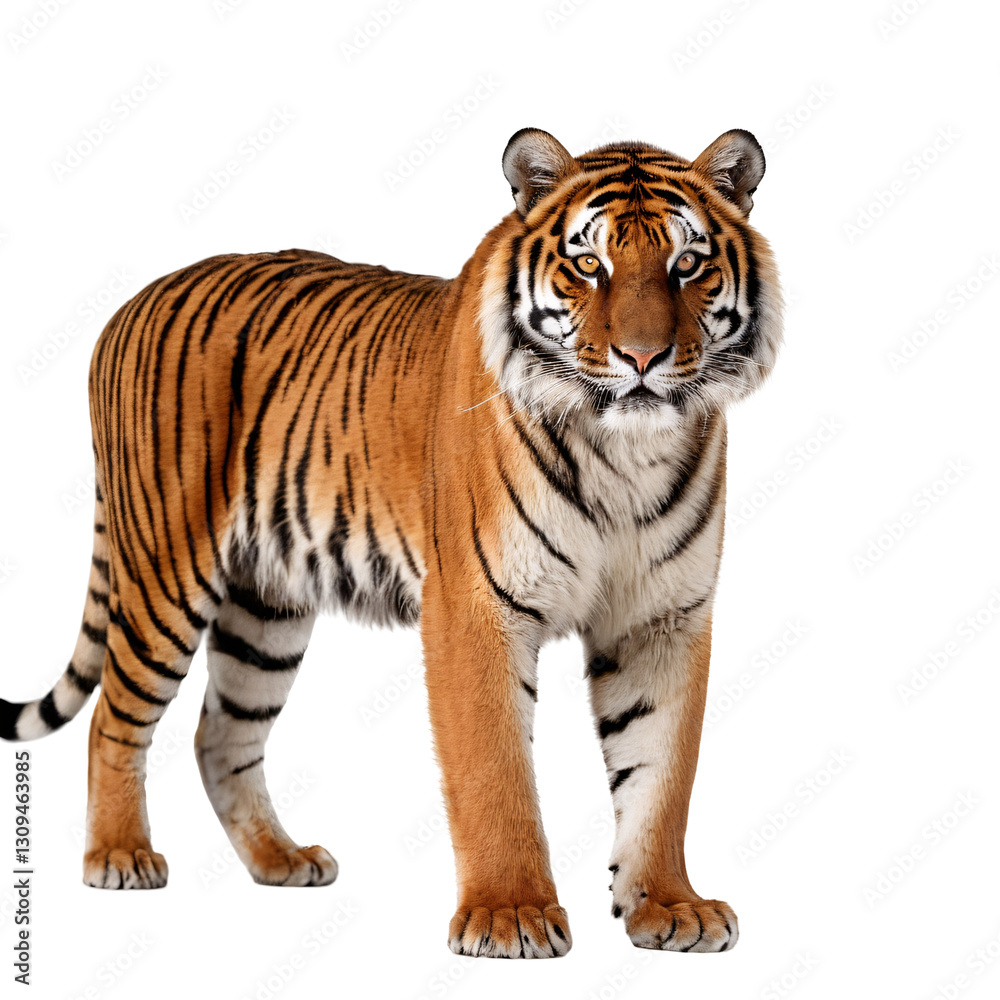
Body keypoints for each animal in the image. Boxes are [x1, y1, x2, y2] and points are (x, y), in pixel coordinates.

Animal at [0, 126, 781, 958]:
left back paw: (282, 860)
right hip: (165, 571)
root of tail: (129, 303)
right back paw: (120, 855)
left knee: (221, 737)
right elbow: (494, 770)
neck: (628, 455)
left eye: (687, 264)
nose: (642, 359)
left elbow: (661, 774)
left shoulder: (661, 619)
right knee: (113, 717)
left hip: (265, 610)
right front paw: (510, 915)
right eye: (587, 266)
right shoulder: (476, 608)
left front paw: (669, 906)